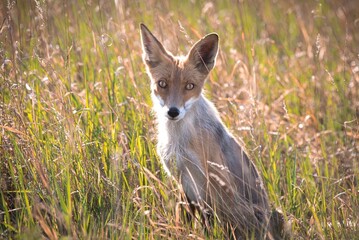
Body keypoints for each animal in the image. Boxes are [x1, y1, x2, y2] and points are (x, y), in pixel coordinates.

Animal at [140, 23, 286, 240]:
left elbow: (211, 221)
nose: (173, 111)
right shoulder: (182, 180)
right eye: (162, 84)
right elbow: (188, 217)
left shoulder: (213, 181)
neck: (179, 142)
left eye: (189, 86)